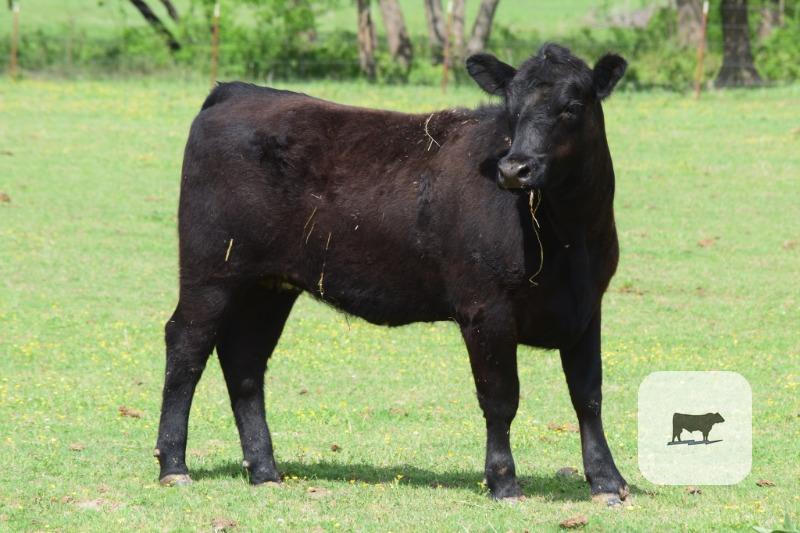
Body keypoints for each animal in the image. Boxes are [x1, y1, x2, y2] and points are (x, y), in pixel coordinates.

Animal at [154, 43, 629, 504]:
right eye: (510, 109)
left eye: (572, 106)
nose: (514, 169)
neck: (569, 239)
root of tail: (239, 92)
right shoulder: (485, 309)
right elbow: (500, 398)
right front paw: (504, 482)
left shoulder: (588, 306)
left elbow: (588, 395)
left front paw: (607, 481)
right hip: (211, 270)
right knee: (187, 346)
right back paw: (174, 466)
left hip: (268, 286)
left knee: (245, 360)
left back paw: (265, 471)